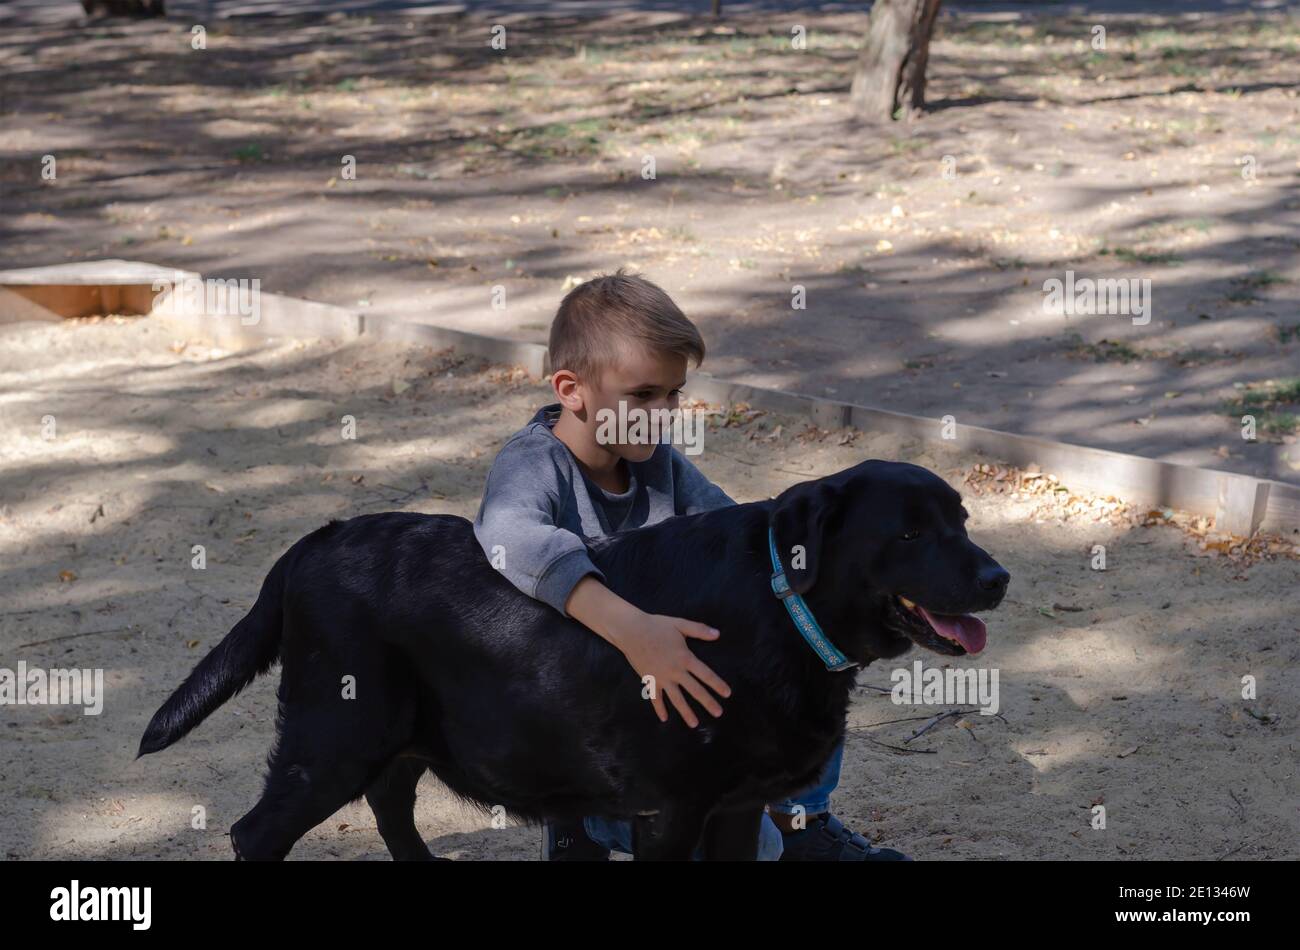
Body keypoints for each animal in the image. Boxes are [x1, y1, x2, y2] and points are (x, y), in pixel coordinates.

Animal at [144, 460, 1013, 862]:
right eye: (908, 533)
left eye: (963, 520)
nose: (998, 577)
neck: (778, 606)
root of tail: (312, 541)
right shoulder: (671, 812)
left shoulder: (736, 808)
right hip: (335, 736)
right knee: (256, 831)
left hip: (400, 734)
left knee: (391, 804)